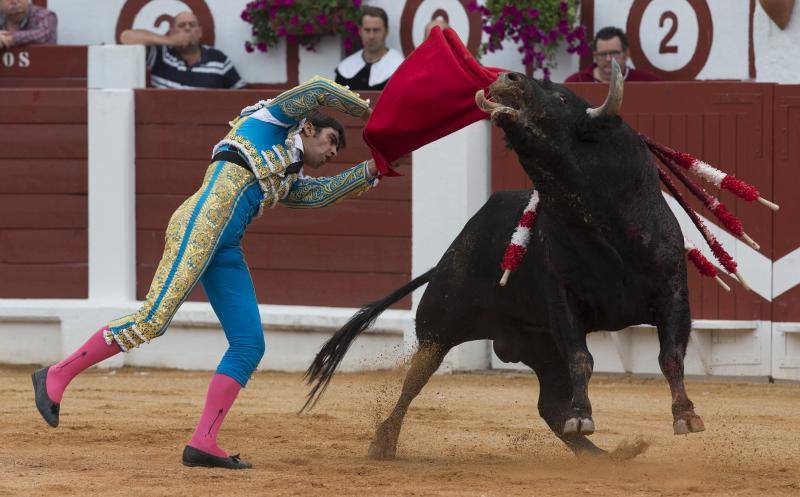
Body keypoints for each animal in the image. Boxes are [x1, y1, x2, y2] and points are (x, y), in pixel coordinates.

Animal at [304, 64, 704, 460]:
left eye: (562, 98)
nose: (508, 77)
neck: (602, 227)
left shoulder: (672, 292)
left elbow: (670, 355)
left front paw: (686, 416)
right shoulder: (563, 302)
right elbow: (582, 357)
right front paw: (582, 416)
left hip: (538, 346)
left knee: (549, 404)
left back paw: (606, 456)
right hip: (439, 324)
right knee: (416, 378)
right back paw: (383, 441)